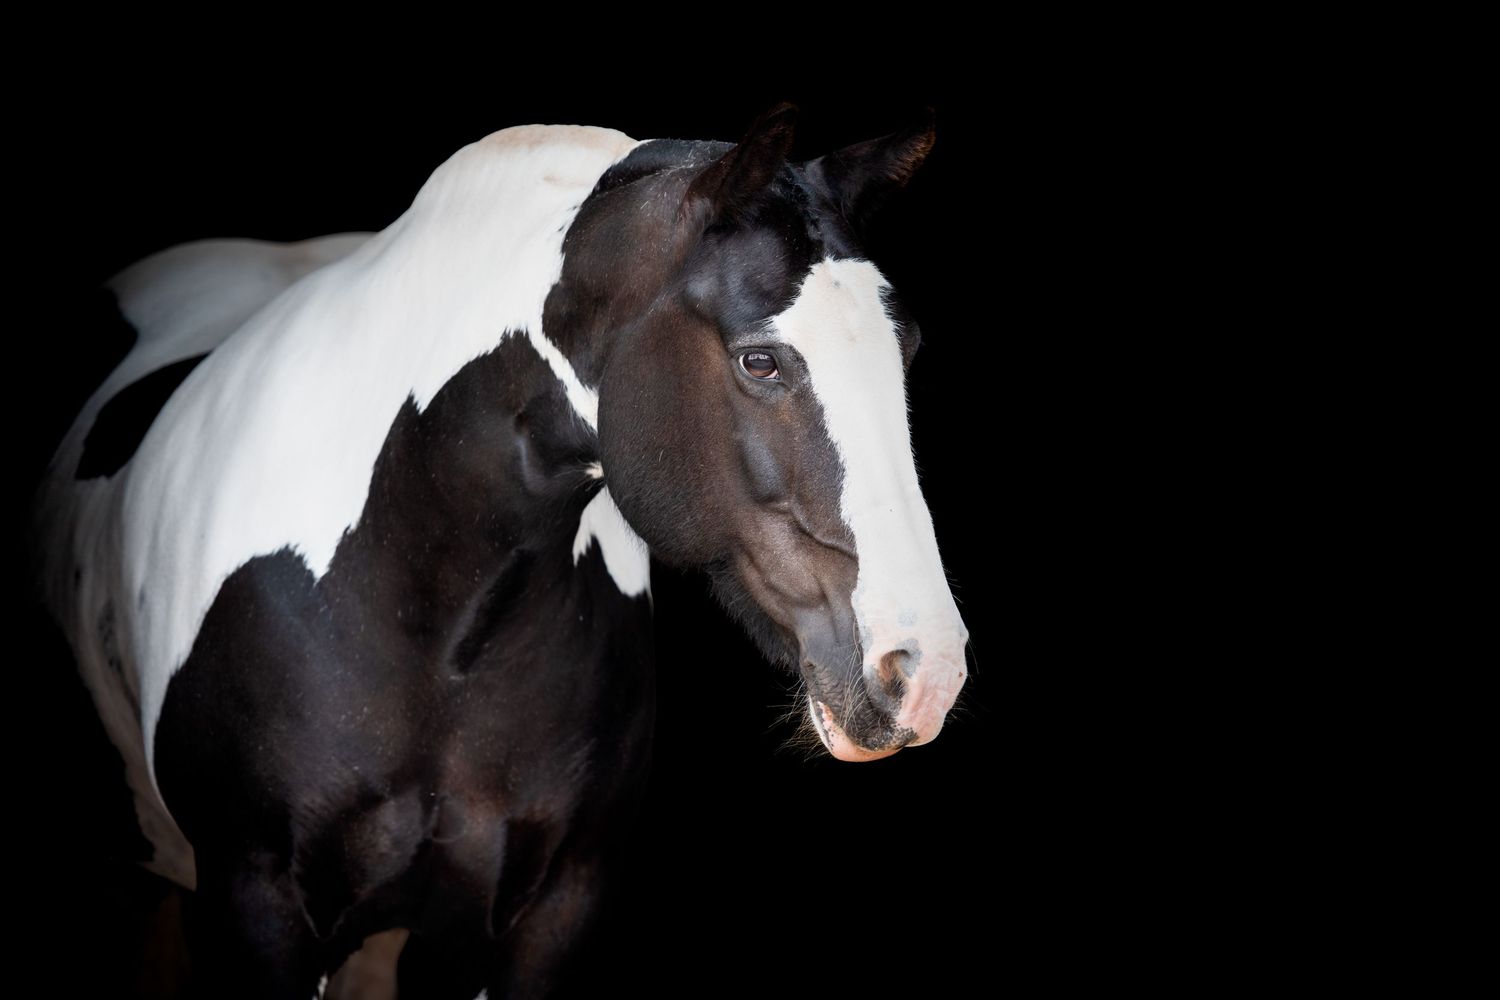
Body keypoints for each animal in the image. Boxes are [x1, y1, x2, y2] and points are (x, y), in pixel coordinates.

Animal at [33, 104, 968, 998]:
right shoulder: (256, 906)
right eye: (762, 361)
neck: (430, 612)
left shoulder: (548, 912)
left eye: (909, 349)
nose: (924, 673)